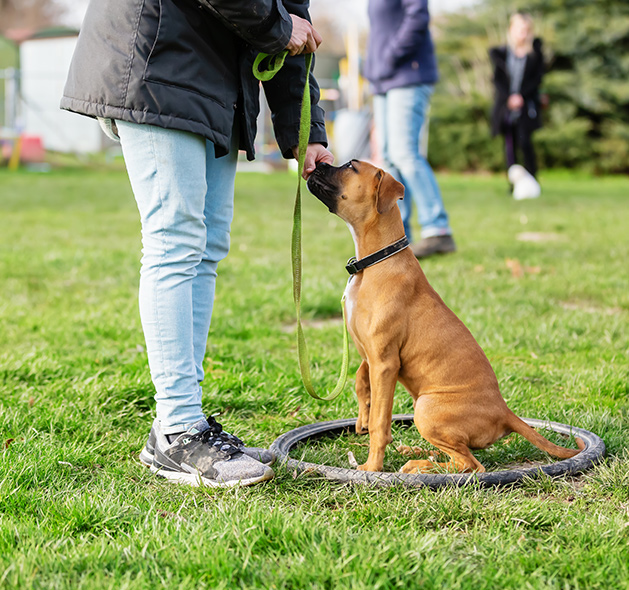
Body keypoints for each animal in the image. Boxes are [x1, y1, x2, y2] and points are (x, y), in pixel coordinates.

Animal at [306, 161, 580, 476]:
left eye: (350, 166)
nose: (318, 163)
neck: (376, 261)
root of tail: (505, 412)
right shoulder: (369, 354)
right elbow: (361, 383)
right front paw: (362, 417)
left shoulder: (385, 362)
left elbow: (380, 422)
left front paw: (372, 467)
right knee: (457, 455)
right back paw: (418, 452)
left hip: (426, 408)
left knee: (470, 464)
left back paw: (418, 464)